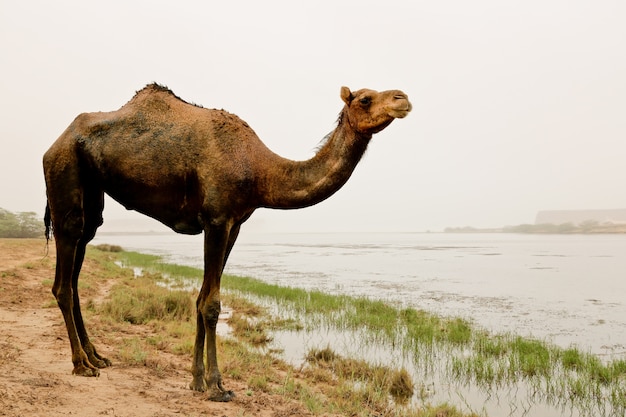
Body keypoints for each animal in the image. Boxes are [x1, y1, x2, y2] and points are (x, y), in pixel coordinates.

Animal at [42, 83, 410, 400]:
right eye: (365, 98)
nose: (402, 98)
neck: (260, 169)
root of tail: (54, 144)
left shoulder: (235, 224)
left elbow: (202, 296)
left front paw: (196, 380)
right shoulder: (217, 219)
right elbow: (212, 304)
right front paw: (217, 385)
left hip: (93, 196)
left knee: (78, 265)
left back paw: (97, 356)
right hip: (64, 172)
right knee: (63, 276)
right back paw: (81, 364)